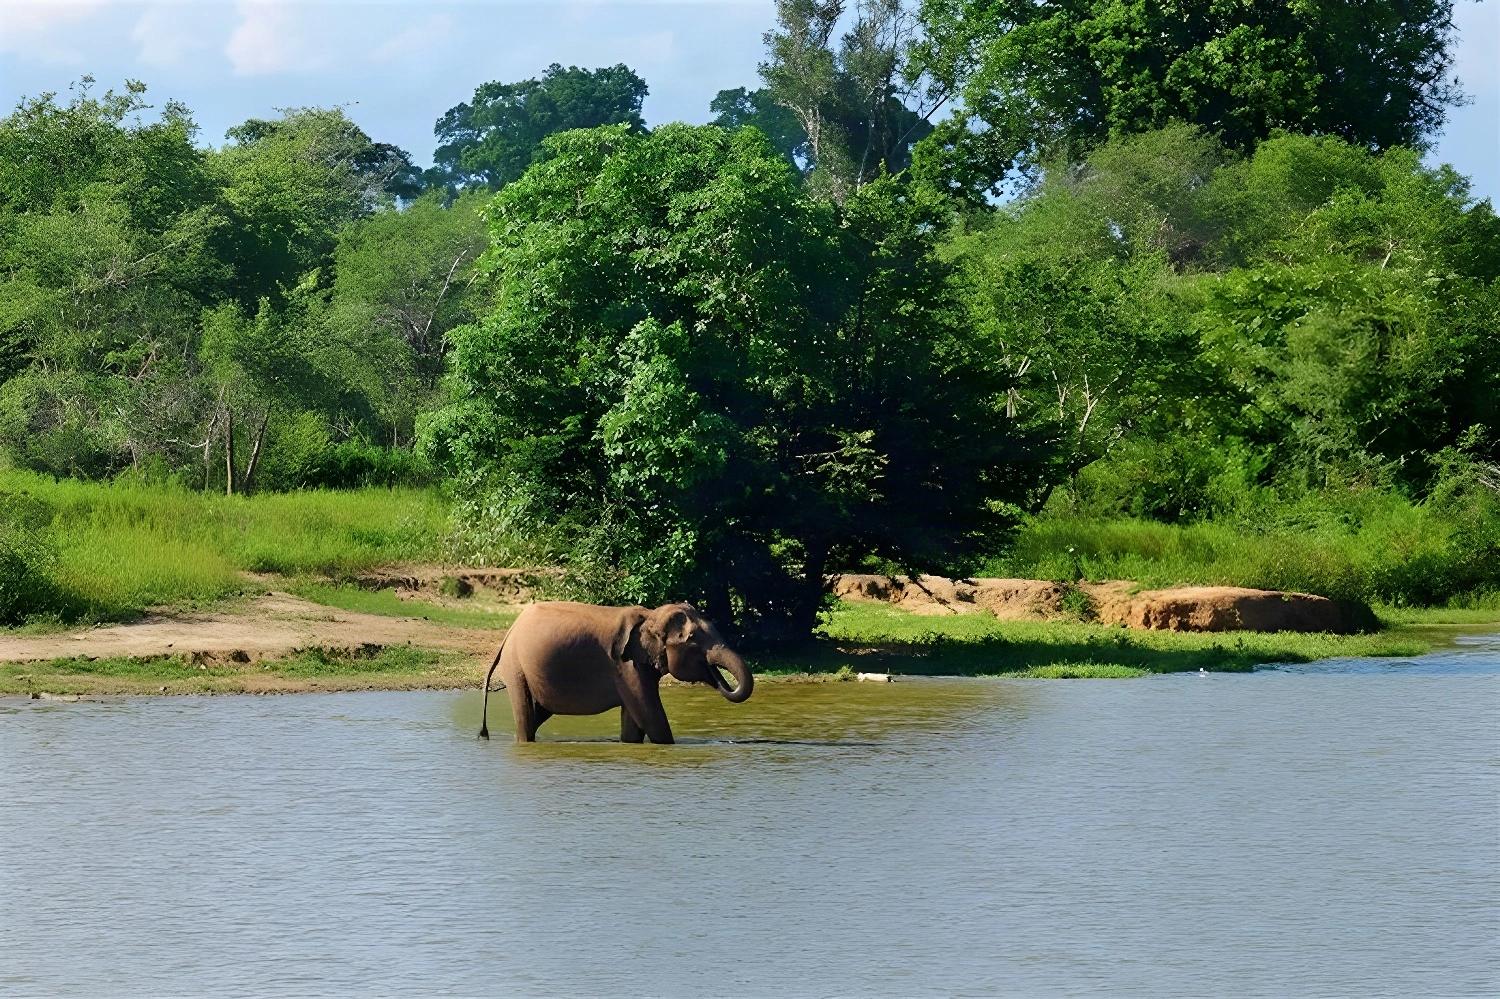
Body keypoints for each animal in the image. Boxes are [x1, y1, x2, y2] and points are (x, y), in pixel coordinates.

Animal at [478, 601, 754, 744]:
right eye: (694, 640)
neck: (650, 615)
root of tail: (510, 631)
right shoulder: (624, 665)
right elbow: (650, 715)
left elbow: (635, 720)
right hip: (516, 665)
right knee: (525, 711)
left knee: (540, 711)